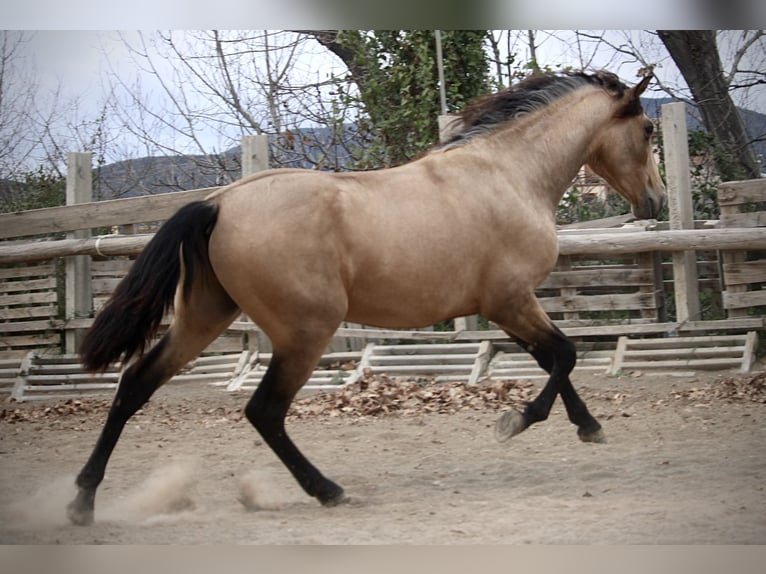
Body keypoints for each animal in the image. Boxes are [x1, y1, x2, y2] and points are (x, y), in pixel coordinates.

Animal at [66, 68, 664, 528]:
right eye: (649, 128)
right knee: (264, 410)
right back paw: (327, 490)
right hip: (305, 332)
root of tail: (218, 202)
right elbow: (564, 354)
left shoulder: (511, 306)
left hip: (204, 317)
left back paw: (83, 501)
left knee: (135, 384)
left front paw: (588, 426)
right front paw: (515, 422)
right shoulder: (510, 301)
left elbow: (552, 358)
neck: (507, 174)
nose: (656, 201)